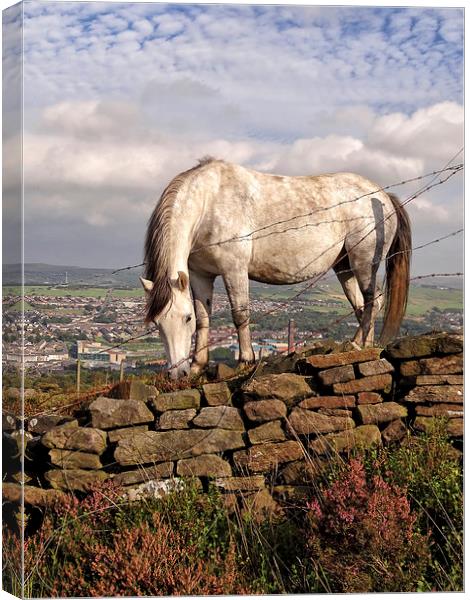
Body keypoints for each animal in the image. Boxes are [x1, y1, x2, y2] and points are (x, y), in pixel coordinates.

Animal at [140, 157, 412, 378]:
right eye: (157, 324)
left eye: (185, 319)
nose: (178, 373)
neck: (209, 203)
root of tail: (384, 197)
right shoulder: (200, 275)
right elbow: (204, 317)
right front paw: (199, 365)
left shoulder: (234, 269)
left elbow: (240, 314)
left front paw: (245, 360)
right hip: (344, 266)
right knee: (362, 305)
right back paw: (365, 345)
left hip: (364, 263)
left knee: (374, 300)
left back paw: (356, 344)